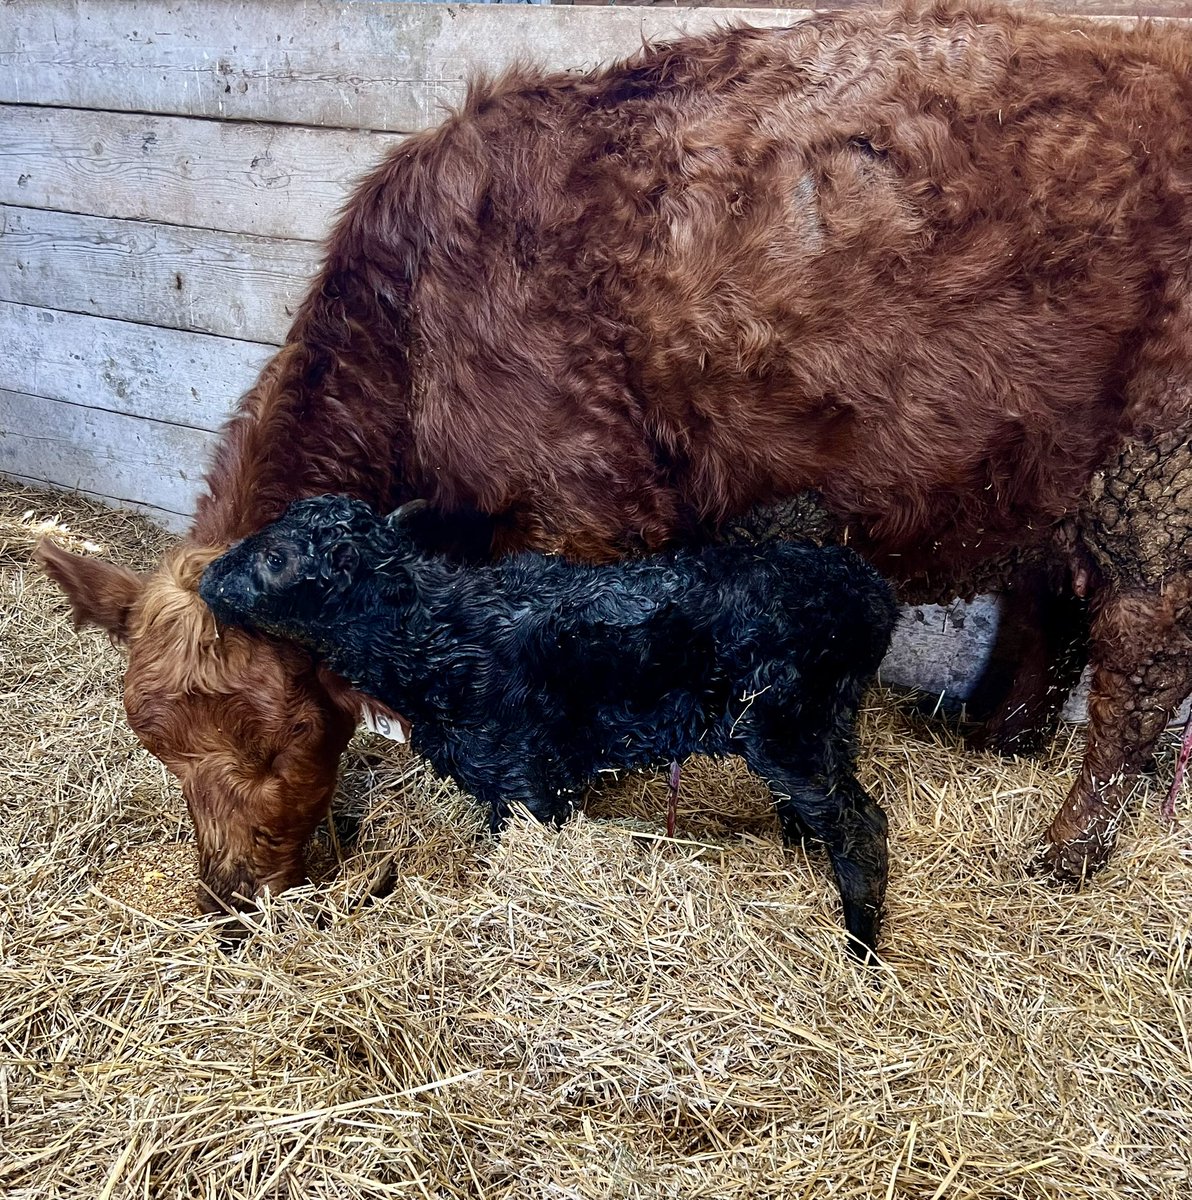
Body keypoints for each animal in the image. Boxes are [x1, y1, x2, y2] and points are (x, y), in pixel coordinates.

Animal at [202, 492, 893, 950]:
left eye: (277, 558)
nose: (209, 577)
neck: (432, 632)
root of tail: (869, 592)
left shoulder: (520, 776)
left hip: (789, 726)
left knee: (861, 821)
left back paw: (860, 939)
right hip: (825, 725)